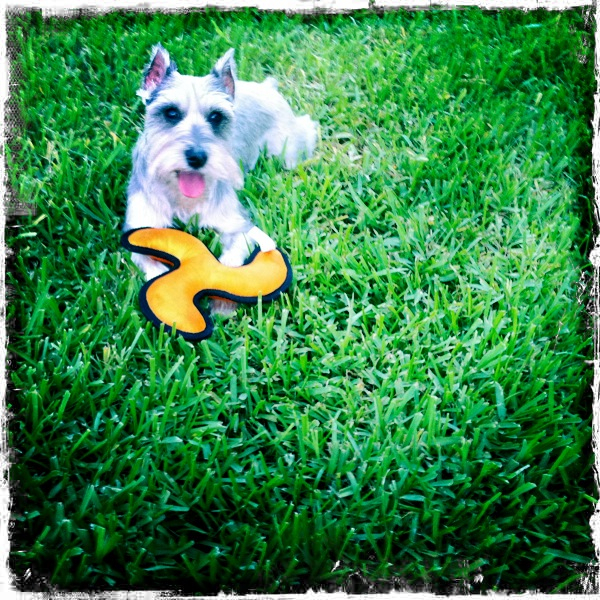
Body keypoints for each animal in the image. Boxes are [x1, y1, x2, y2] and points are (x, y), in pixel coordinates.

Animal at [123, 44, 318, 297]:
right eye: (171, 112)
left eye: (216, 116)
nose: (197, 157)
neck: (181, 197)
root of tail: (266, 87)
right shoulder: (140, 226)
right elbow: (148, 262)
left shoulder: (235, 223)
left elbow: (233, 255)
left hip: (288, 150)